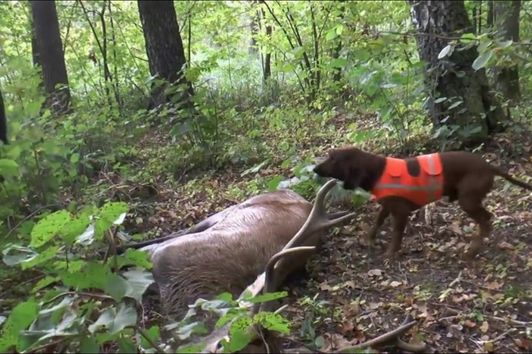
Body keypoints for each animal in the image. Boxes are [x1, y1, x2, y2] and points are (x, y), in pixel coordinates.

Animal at [314, 147, 528, 260]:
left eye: (332, 159)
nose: (315, 169)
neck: (377, 170)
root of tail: (489, 166)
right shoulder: (387, 206)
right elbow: (377, 222)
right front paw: (369, 239)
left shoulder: (400, 213)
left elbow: (396, 234)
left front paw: (390, 254)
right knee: (487, 219)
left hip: (467, 200)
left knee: (486, 220)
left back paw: (472, 250)